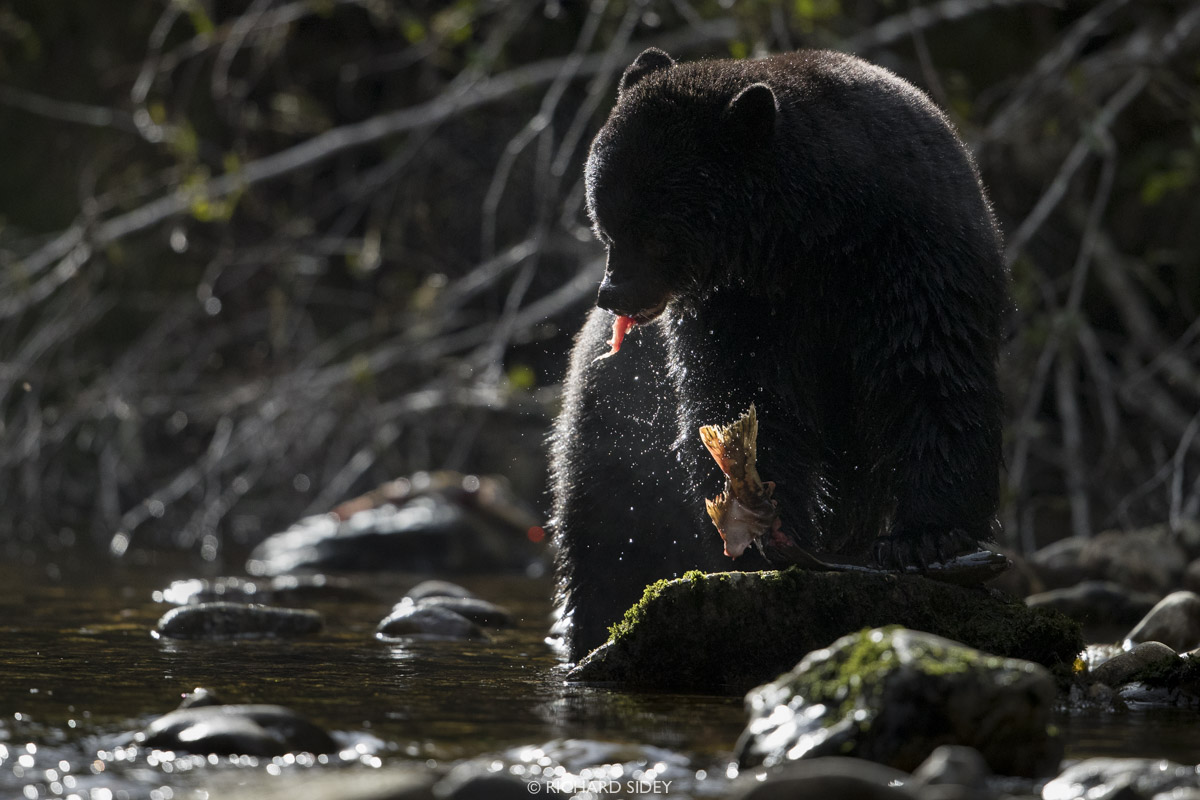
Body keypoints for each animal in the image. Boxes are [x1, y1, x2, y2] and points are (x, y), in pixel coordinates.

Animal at [550, 48, 1006, 660]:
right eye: (606, 226)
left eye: (653, 235)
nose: (612, 296)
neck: (812, 236)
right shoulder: (740, 306)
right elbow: (746, 396)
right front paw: (767, 529)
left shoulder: (914, 256)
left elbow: (933, 373)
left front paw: (925, 537)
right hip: (611, 426)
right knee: (602, 529)